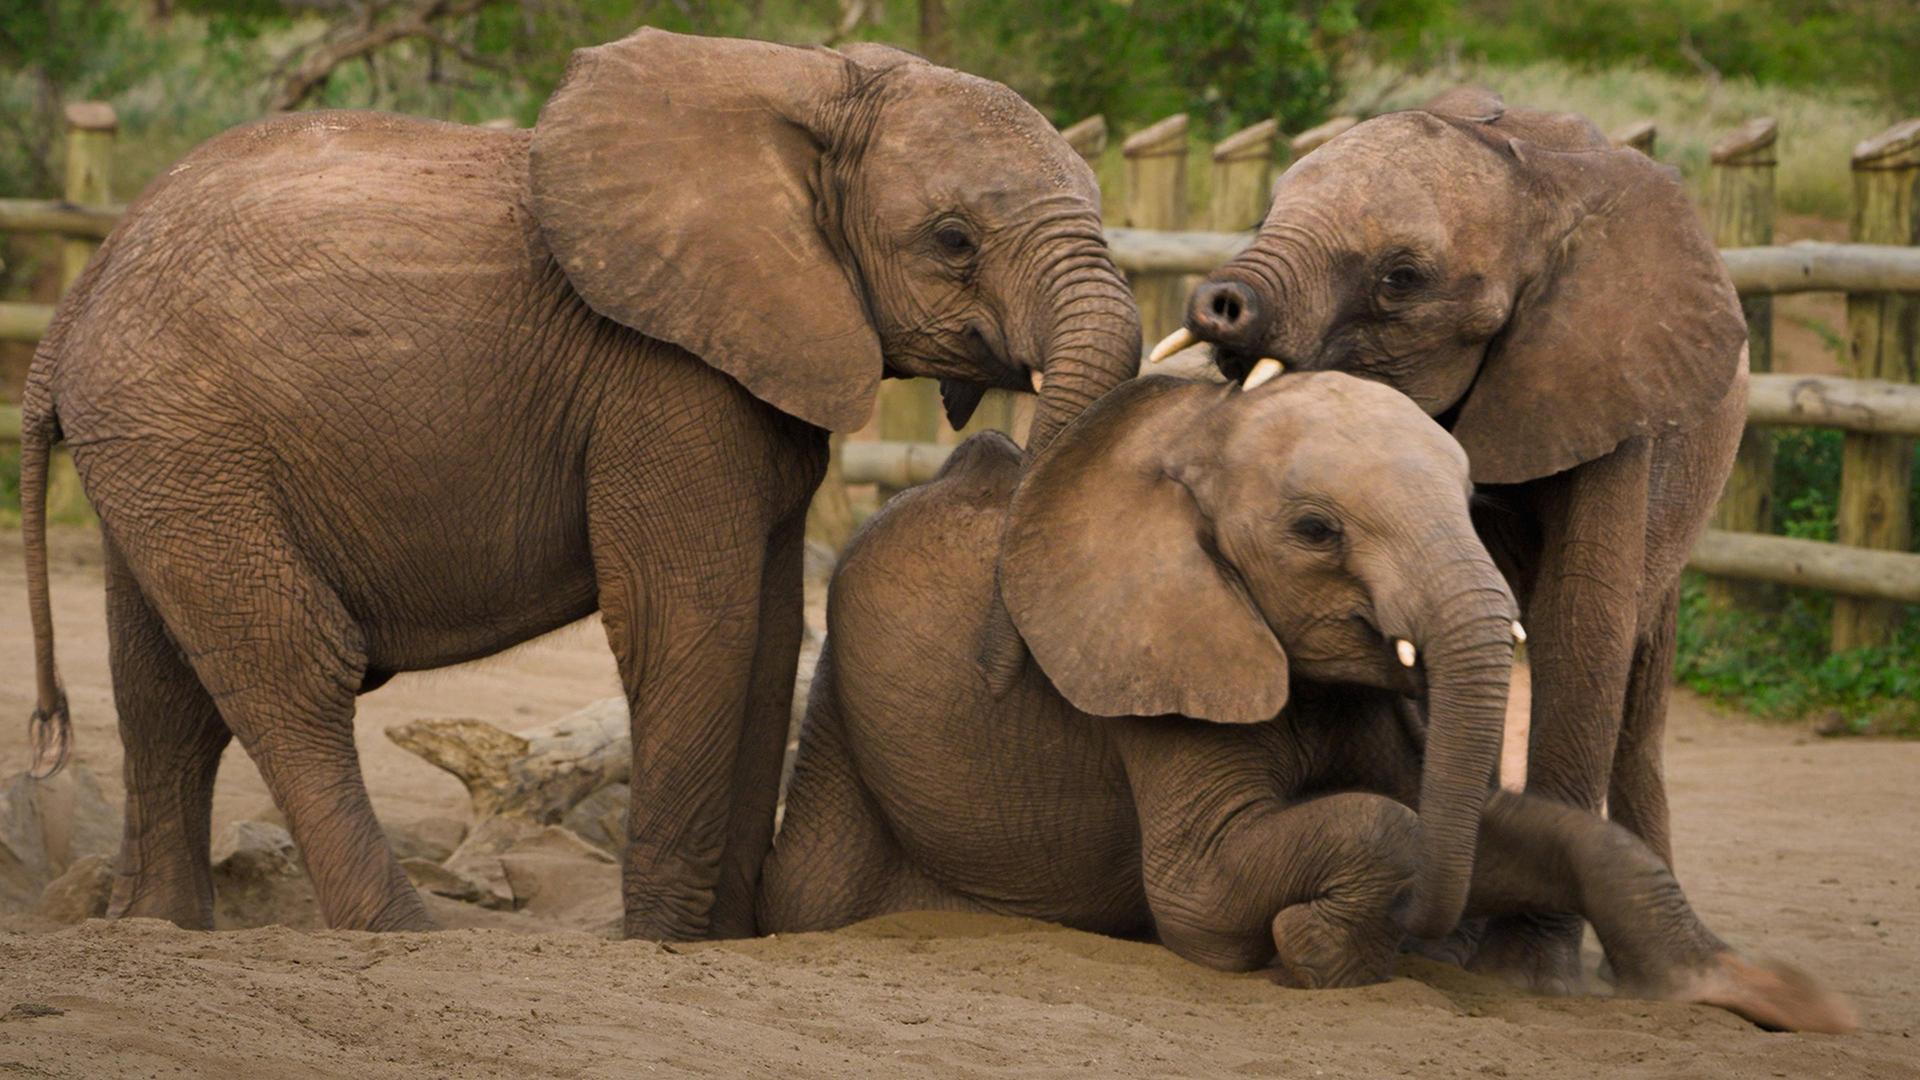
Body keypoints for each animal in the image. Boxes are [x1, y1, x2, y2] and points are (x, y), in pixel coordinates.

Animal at [15, 29, 1141, 938]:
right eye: (953, 241)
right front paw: (660, 945)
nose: (999, 664)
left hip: (163, 447)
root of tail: (75, 301)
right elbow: (692, 623)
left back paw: (158, 927)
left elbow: (770, 633)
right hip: (185, 430)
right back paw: (409, 932)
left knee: (162, 684)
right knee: (291, 666)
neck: (810, 82)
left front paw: (722, 942)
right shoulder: (662, 378)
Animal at [757, 373, 1851, 1034]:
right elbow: (1211, 890)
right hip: (843, 721)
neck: (1203, 430)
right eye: (1317, 530)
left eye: (1472, 502)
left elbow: (1500, 828)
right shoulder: (1154, 661)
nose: (1427, 926)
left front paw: (1786, 1002)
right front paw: (1317, 949)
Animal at [1153, 88, 1749, 986]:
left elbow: (1582, 622)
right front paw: (1446, 946)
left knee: (1639, 697)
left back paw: (1668, 967)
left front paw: (1525, 974)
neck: (1531, 180)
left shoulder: (1612, 379)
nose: (1219, 304)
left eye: (1401, 277)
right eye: (1266, 213)